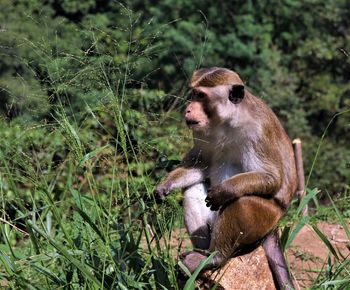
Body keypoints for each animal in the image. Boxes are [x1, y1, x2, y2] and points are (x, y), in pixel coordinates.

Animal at [156, 67, 298, 288]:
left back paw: (216, 257)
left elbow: (272, 178)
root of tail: (273, 228)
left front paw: (225, 190)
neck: (227, 121)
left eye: (201, 95)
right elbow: (201, 163)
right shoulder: (201, 130)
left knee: (242, 201)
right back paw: (202, 254)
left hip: (266, 219)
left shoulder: (258, 129)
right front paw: (166, 184)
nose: (188, 109)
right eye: (193, 94)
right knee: (193, 189)